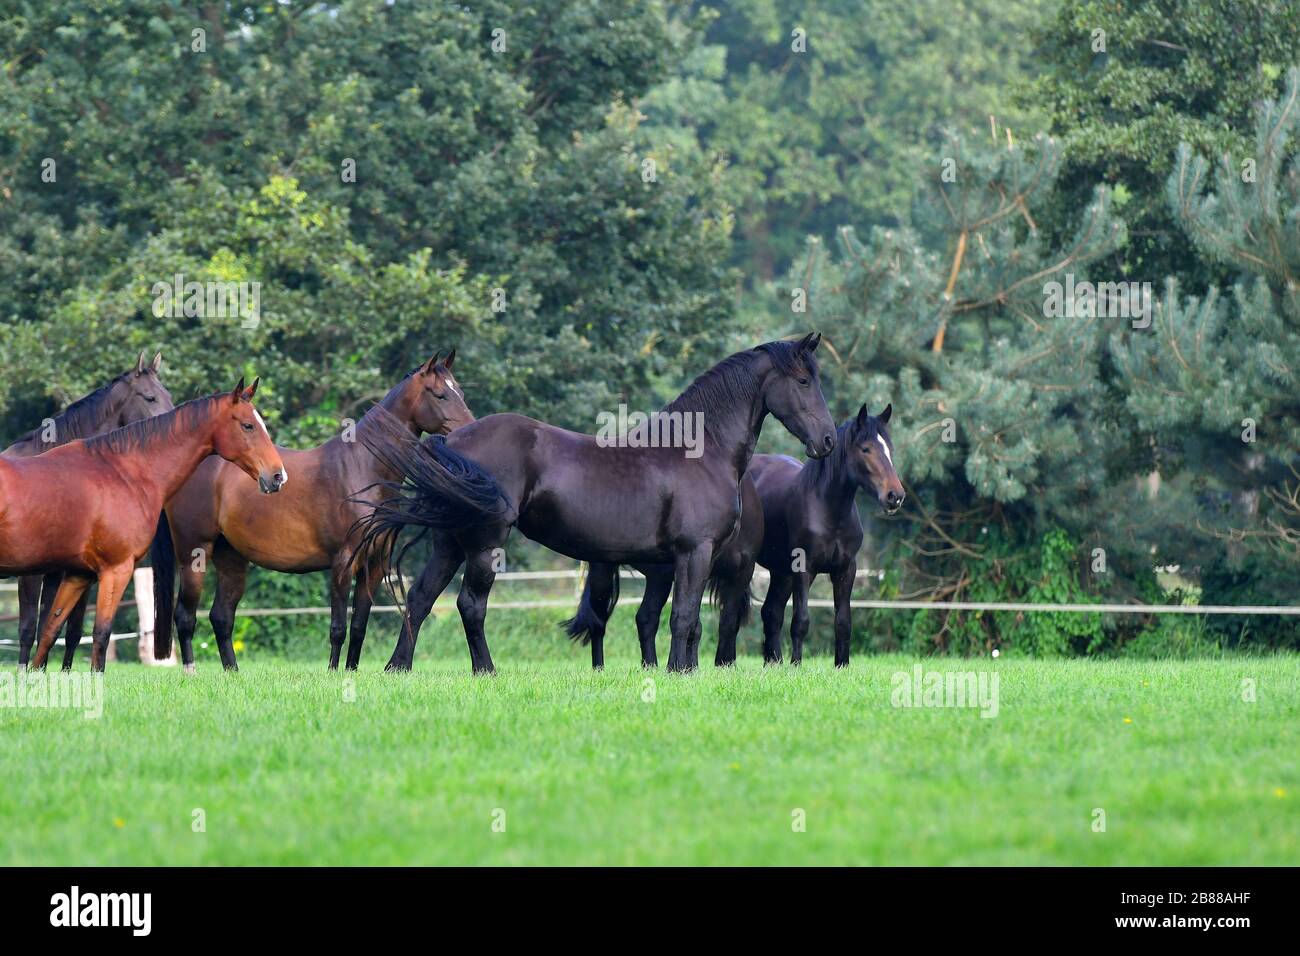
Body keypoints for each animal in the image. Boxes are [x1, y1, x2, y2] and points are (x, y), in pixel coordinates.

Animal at [0, 382, 287, 671]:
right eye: (248, 425)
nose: (278, 476)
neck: (123, 474)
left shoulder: (78, 575)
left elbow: (50, 633)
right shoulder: (115, 570)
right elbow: (100, 634)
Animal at [2, 348, 172, 671]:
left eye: (167, 394)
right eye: (149, 397)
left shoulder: (68, 570)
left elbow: (66, 629)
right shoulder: (31, 573)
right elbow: (29, 627)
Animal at [157, 351, 473, 671]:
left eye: (459, 391)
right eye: (439, 394)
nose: (467, 428)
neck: (361, 469)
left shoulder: (374, 565)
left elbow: (359, 626)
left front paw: (351, 670)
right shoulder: (343, 561)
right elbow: (338, 628)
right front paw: (334, 672)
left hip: (231, 556)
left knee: (221, 617)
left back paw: (232, 673)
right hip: (195, 552)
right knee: (185, 617)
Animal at [361, 335, 837, 671]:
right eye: (803, 381)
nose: (828, 440)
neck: (700, 449)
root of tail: (455, 440)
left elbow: (688, 621)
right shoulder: (694, 552)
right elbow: (684, 618)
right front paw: (679, 673)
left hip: (450, 542)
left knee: (421, 598)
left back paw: (397, 668)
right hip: (485, 542)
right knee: (470, 605)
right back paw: (486, 671)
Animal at [569, 403, 904, 665]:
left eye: (889, 449)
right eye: (865, 449)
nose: (895, 496)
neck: (829, 510)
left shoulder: (846, 569)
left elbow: (843, 621)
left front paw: (840, 666)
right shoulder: (803, 569)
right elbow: (801, 621)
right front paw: (797, 666)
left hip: (768, 573)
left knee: (768, 614)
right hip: (633, 572)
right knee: (606, 621)